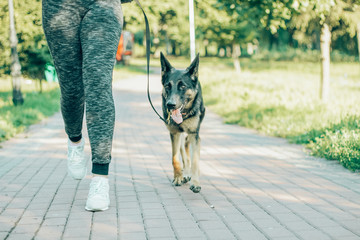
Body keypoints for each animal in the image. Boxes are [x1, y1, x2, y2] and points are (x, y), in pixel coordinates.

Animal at [160, 52, 205, 193]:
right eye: (167, 86)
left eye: (183, 86)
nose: (170, 105)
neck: (183, 116)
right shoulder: (174, 134)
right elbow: (175, 158)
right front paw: (179, 177)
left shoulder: (194, 135)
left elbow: (195, 160)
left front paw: (195, 182)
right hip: (180, 135)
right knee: (183, 152)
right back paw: (185, 174)